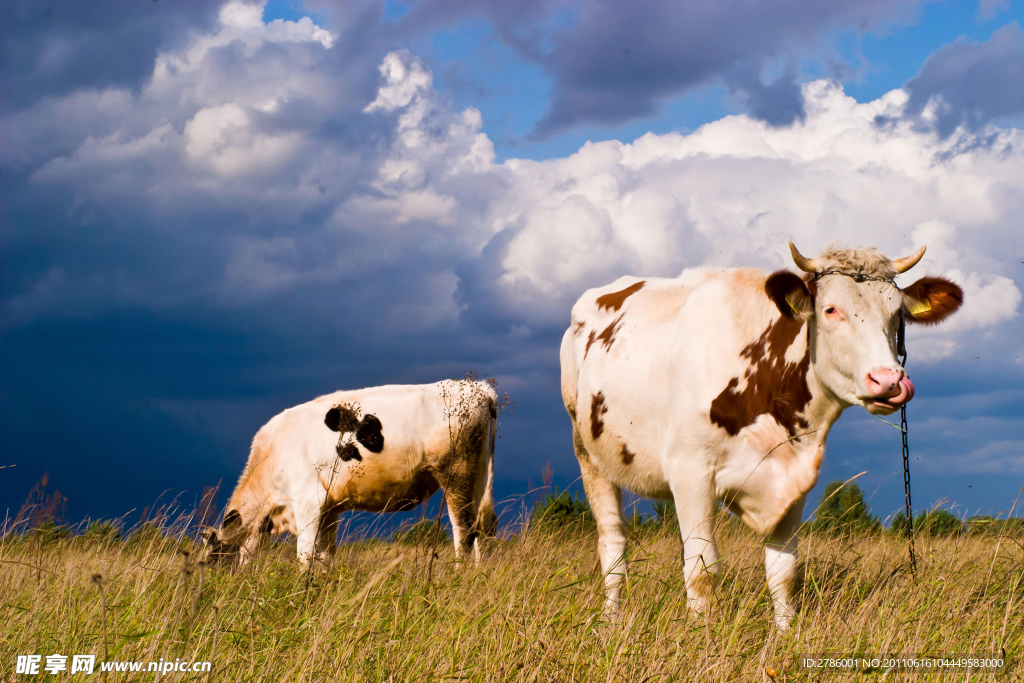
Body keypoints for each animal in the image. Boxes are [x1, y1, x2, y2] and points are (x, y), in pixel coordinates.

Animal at [201, 382, 497, 569]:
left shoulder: (309, 501)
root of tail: (479, 388)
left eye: (213, 558)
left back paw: (458, 575)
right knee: (484, 527)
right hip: (479, 476)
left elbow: (304, 555)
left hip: (456, 474)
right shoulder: (329, 510)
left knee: (464, 531)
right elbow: (326, 556)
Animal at [565, 242, 962, 626]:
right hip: (588, 455)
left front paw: (784, 635)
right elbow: (702, 571)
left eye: (897, 315)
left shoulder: (794, 476)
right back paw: (611, 620)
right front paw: (700, 636)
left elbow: (782, 572)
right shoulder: (689, 471)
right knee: (613, 545)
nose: (889, 381)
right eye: (831, 309)